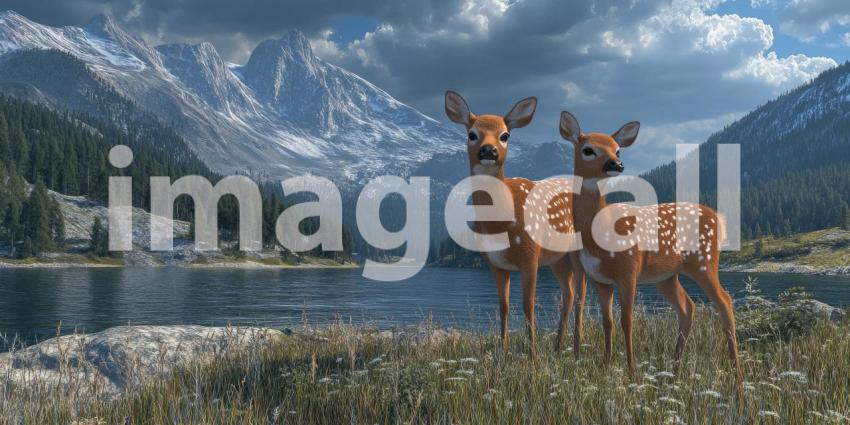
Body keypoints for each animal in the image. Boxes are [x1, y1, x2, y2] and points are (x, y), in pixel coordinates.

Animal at [444, 91, 586, 358]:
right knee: (569, 293)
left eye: (505, 135)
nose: (488, 150)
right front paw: (503, 351)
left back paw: (577, 347)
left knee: (581, 292)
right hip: (558, 258)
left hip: (579, 250)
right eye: (472, 134)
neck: (499, 223)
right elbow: (504, 306)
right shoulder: (495, 263)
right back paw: (558, 345)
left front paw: (532, 355)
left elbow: (528, 306)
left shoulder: (530, 255)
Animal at [557, 111, 743, 392]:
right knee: (688, 307)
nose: (617, 165)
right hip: (667, 276)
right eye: (588, 149)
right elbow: (607, 322)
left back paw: (737, 377)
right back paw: (675, 371)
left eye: (618, 149)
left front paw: (631, 371)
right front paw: (606, 366)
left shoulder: (629, 269)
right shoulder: (601, 280)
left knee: (725, 301)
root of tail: (718, 218)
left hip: (704, 262)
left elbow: (627, 320)